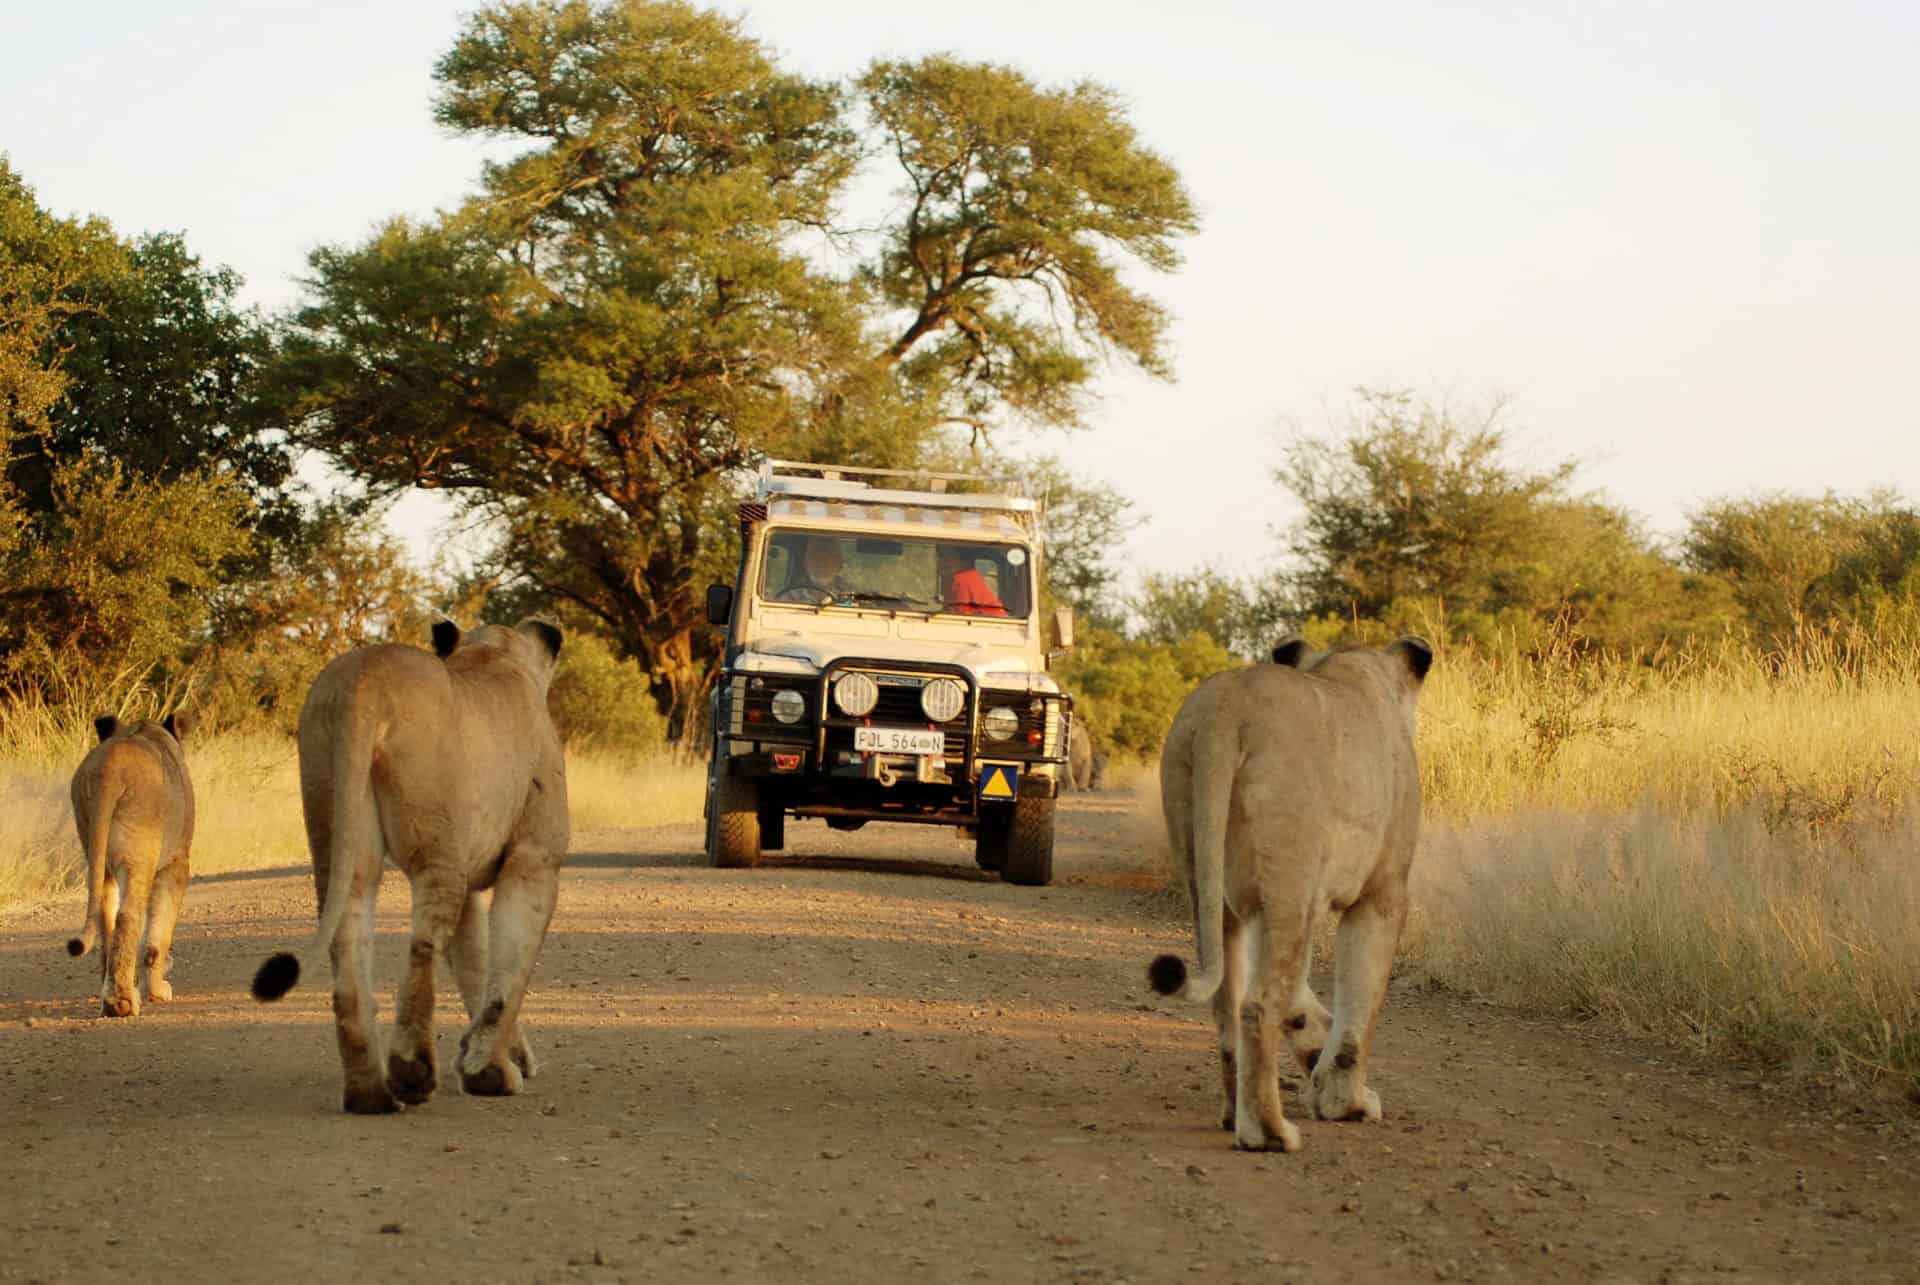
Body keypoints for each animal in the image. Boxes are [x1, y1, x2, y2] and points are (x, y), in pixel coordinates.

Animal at [66, 710, 195, 1014]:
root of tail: (109, 767)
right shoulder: (176, 862)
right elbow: (158, 935)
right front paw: (158, 990)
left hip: (97, 852)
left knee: (106, 916)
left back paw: (112, 995)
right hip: (138, 855)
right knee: (127, 916)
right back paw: (121, 1002)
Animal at [247, 614, 564, 1114]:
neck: (495, 653)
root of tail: (362, 680)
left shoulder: (471, 871)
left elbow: (476, 965)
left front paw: (492, 1060)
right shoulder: (535, 860)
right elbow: (506, 975)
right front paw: (491, 1073)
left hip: (339, 823)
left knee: (348, 951)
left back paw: (369, 1094)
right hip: (435, 845)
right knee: (422, 946)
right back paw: (412, 1072)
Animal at [1144, 637, 1436, 1144]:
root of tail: (1226, 706)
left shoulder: (1291, 902)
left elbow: (1304, 1002)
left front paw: (1318, 1064)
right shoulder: (1381, 894)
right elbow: (1359, 1006)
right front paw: (1347, 1103)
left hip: (1211, 877)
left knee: (1228, 1001)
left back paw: (1233, 1114)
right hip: (1288, 882)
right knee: (1258, 1006)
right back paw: (1269, 1133)